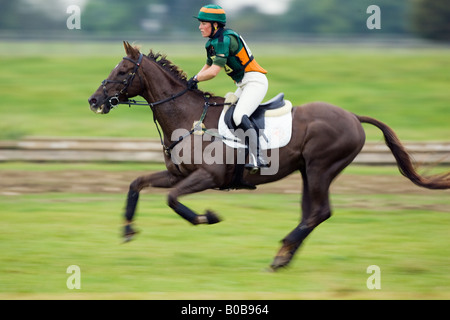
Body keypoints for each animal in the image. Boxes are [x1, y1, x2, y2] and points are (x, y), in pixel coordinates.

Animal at [89, 42, 450, 272]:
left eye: (123, 70)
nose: (94, 100)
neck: (187, 118)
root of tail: (352, 116)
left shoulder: (207, 177)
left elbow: (174, 201)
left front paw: (208, 216)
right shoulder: (178, 174)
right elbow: (137, 183)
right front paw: (127, 229)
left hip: (321, 168)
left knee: (319, 211)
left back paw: (280, 256)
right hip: (308, 171)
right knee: (311, 213)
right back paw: (284, 255)